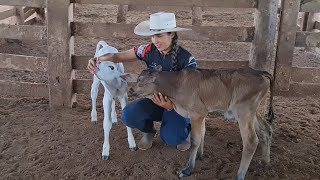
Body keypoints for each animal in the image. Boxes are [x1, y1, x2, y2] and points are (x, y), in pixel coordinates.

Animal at [129, 66, 274, 180]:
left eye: (140, 79)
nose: (130, 90)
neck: (177, 86)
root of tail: (259, 72)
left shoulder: (196, 113)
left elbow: (195, 139)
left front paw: (187, 169)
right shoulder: (202, 113)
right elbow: (202, 133)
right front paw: (199, 155)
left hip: (243, 111)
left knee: (251, 141)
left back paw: (239, 176)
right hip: (252, 112)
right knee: (266, 130)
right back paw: (265, 162)